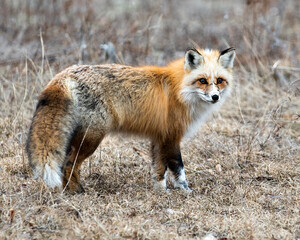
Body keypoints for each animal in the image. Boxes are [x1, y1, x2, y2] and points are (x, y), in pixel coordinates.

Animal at [25, 47, 236, 193]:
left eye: (219, 80)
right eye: (202, 81)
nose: (215, 97)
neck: (180, 91)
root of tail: (66, 73)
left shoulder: (159, 137)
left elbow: (159, 169)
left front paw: (161, 191)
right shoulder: (171, 136)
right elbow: (178, 167)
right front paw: (185, 190)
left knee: (64, 163)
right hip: (92, 138)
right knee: (69, 163)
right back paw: (76, 191)